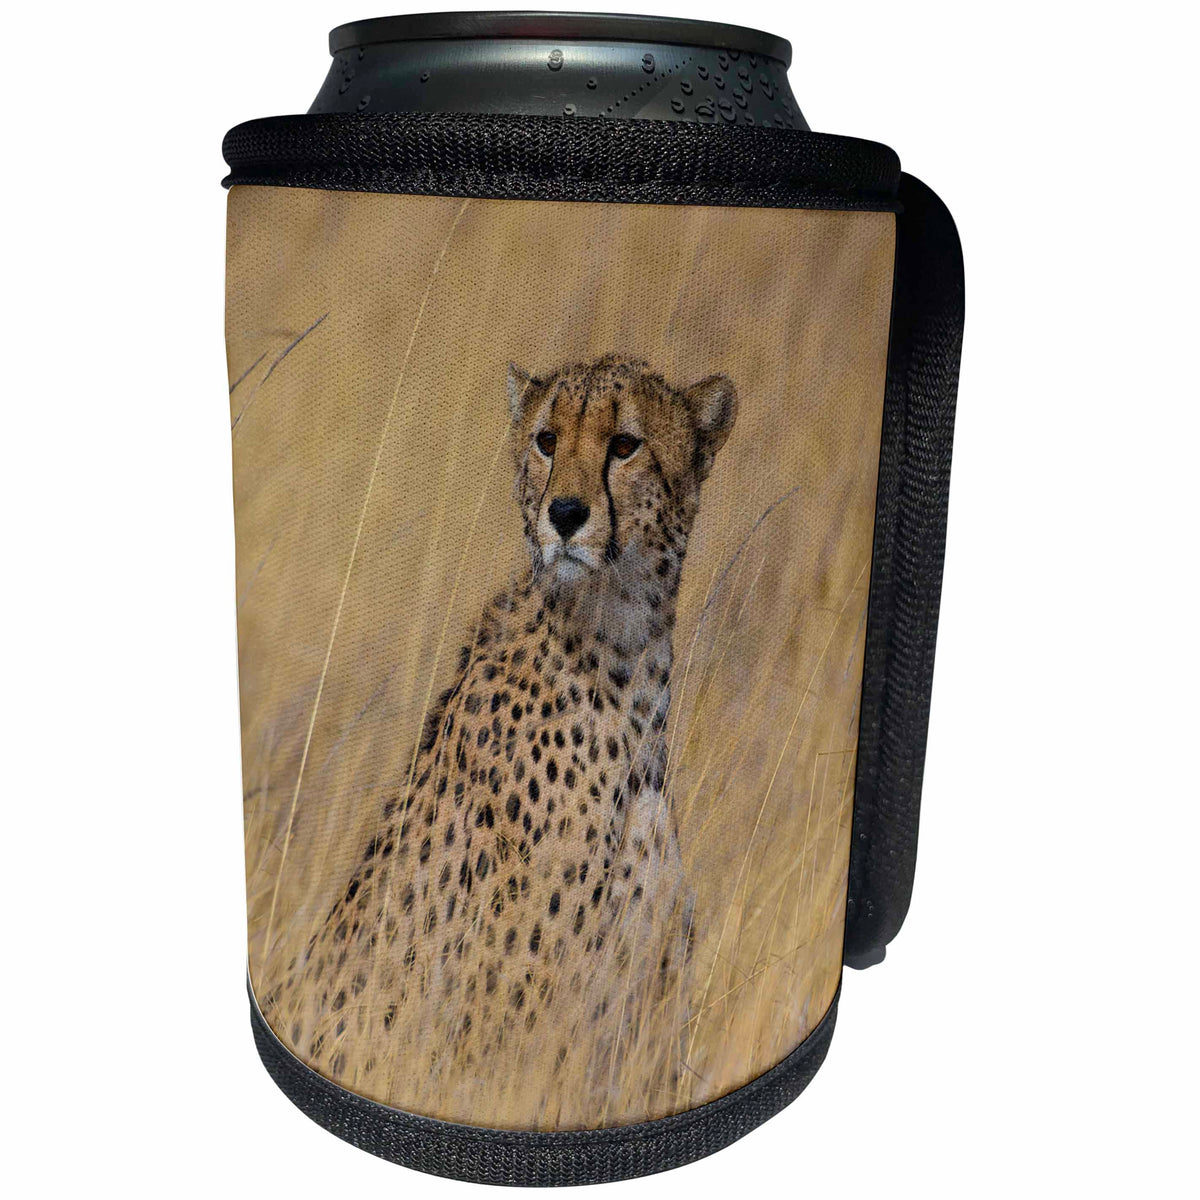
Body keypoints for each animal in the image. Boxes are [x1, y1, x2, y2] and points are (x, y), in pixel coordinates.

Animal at [261, 354, 738, 1128]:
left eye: (625, 445)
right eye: (546, 440)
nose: (565, 514)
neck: (623, 653)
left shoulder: (637, 1039)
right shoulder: (514, 1043)